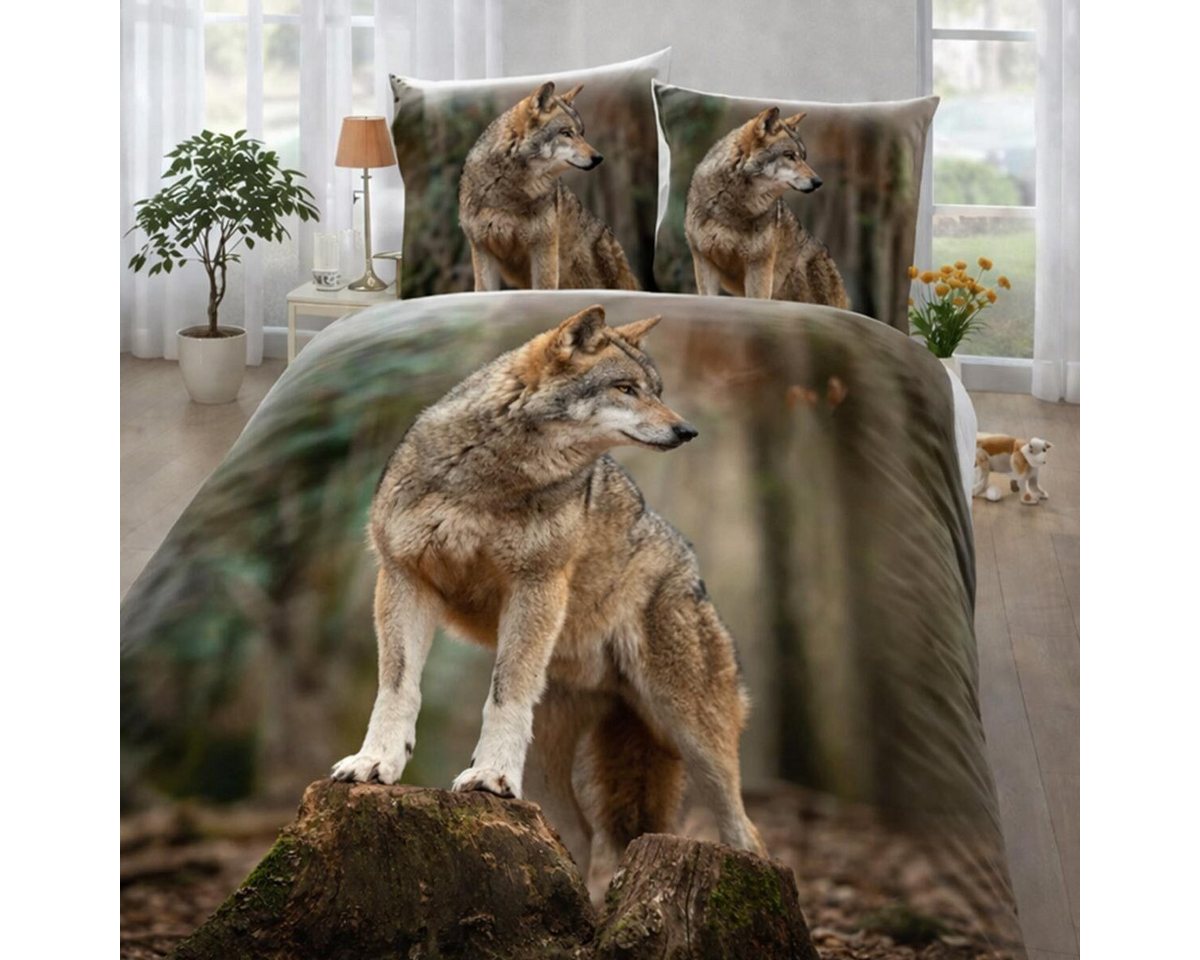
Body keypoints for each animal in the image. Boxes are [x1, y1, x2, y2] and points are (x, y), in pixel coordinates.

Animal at [331, 304, 763, 881]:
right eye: (626, 389)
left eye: (656, 390)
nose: (687, 430)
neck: (491, 477)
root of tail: (692, 570)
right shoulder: (405, 577)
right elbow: (398, 687)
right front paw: (376, 762)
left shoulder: (536, 583)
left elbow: (505, 689)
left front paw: (489, 777)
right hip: (562, 764)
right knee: (579, 835)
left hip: (691, 734)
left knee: (746, 833)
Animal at [685, 107, 849, 307]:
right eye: (789, 155)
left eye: (803, 157)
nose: (818, 182)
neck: (732, 206)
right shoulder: (703, 262)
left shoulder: (759, 265)